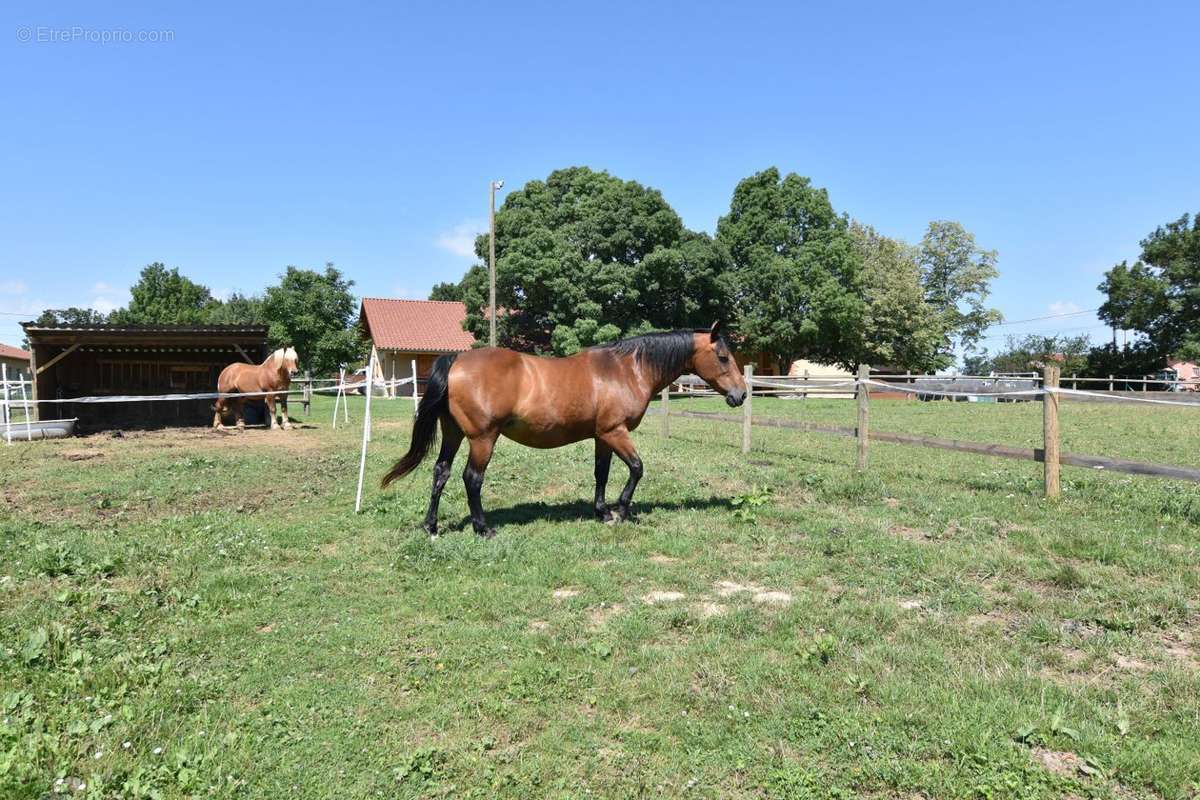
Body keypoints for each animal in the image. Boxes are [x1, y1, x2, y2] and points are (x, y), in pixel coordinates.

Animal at [384, 323, 744, 537]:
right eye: (723, 357)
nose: (740, 395)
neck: (626, 369)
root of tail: (456, 361)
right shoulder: (616, 432)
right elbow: (637, 468)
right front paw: (622, 509)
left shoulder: (603, 436)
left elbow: (601, 474)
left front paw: (602, 512)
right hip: (482, 439)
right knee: (471, 479)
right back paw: (483, 528)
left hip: (454, 434)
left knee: (440, 472)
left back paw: (431, 526)